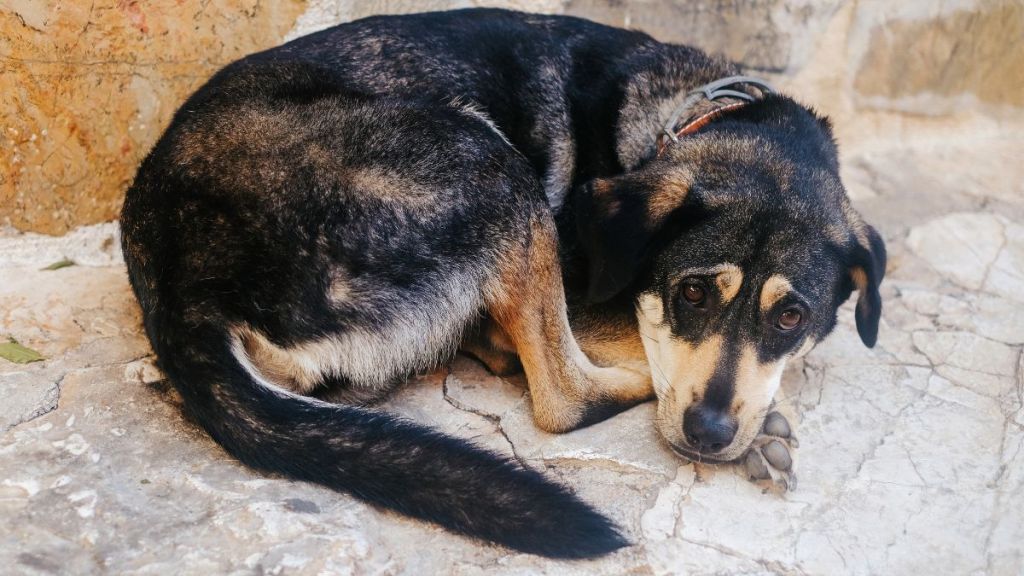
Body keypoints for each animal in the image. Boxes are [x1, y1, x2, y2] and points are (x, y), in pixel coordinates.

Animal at [119, 7, 884, 557]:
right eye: (691, 294)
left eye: (790, 317)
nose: (710, 432)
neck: (694, 114)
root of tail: (170, 273)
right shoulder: (599, 295)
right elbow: (643, 352)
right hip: (487, 161)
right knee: (565, 397)